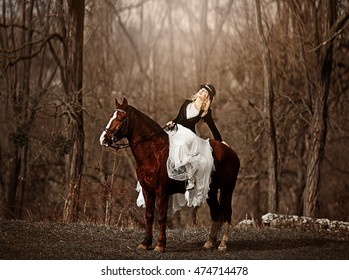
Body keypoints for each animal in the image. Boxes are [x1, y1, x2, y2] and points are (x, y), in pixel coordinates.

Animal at [99, 98, 238, 252]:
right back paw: (210, 242)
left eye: (120, 118)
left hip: (227, 189)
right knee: (216, 211)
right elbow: (149, 216)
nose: (103, 139)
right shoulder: (148, 190)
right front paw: (145, 243)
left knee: (227, 212)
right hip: (210, 190)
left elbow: (161, 217)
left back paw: (223, 244)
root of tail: (229, 150)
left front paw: (160, 245)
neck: (152, 152)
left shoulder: (162, 191)